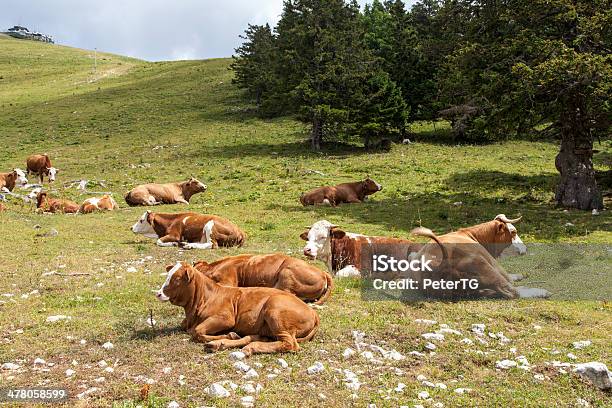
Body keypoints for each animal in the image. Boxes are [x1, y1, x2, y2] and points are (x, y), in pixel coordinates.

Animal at [155, 262, 320, 356]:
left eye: (176, 279)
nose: (158, 293)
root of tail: (312, 311)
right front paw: (227, 337)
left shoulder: (226, 318)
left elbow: (197, 331)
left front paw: (224, 335)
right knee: (255, 337)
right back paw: (223, 343)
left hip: (275, 310)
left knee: (289, 343)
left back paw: (249, 347)